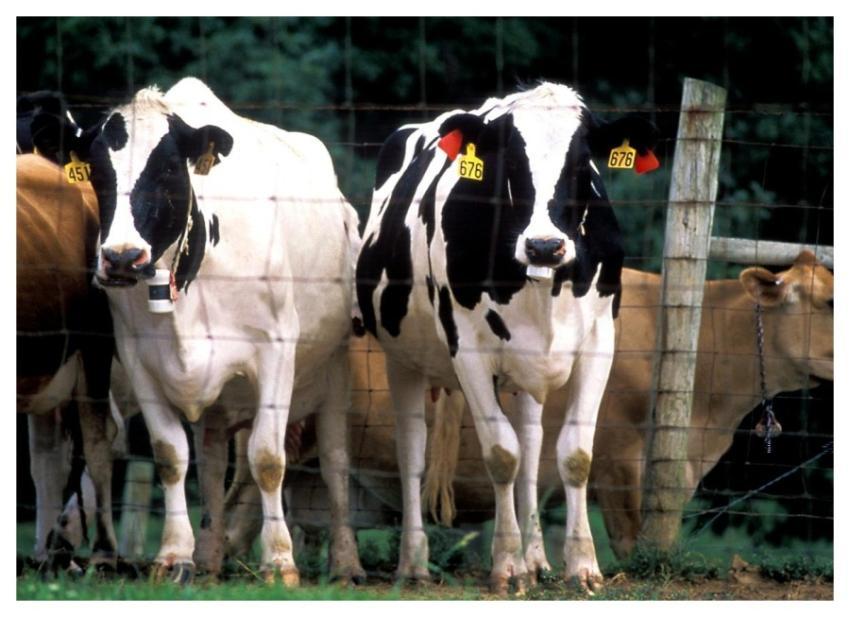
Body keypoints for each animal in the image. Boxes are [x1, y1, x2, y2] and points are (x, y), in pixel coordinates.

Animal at [32, 76, 365, 585]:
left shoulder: (275, 354)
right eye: (96, 173)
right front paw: (174, 555)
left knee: (335, 462)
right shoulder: (139, 360)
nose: (122, 257)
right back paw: (208, 556)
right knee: (210, 463)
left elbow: (268, 458)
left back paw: (346, 562)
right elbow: (171, 456)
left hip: (334, 371)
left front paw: (279, 561)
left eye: (169, 170)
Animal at [355, 82, 658, 593]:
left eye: (583, 162)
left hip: (524, 374)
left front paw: (581, 567)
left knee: (533, 449)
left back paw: (537, 560)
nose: (544, 246)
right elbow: (501, 455)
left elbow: (573, 455)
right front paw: (506, 567)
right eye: (509, 162)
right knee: (412, 449)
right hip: (404, 359)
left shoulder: (600, 342)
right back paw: (414, 563)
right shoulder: (468, 350)